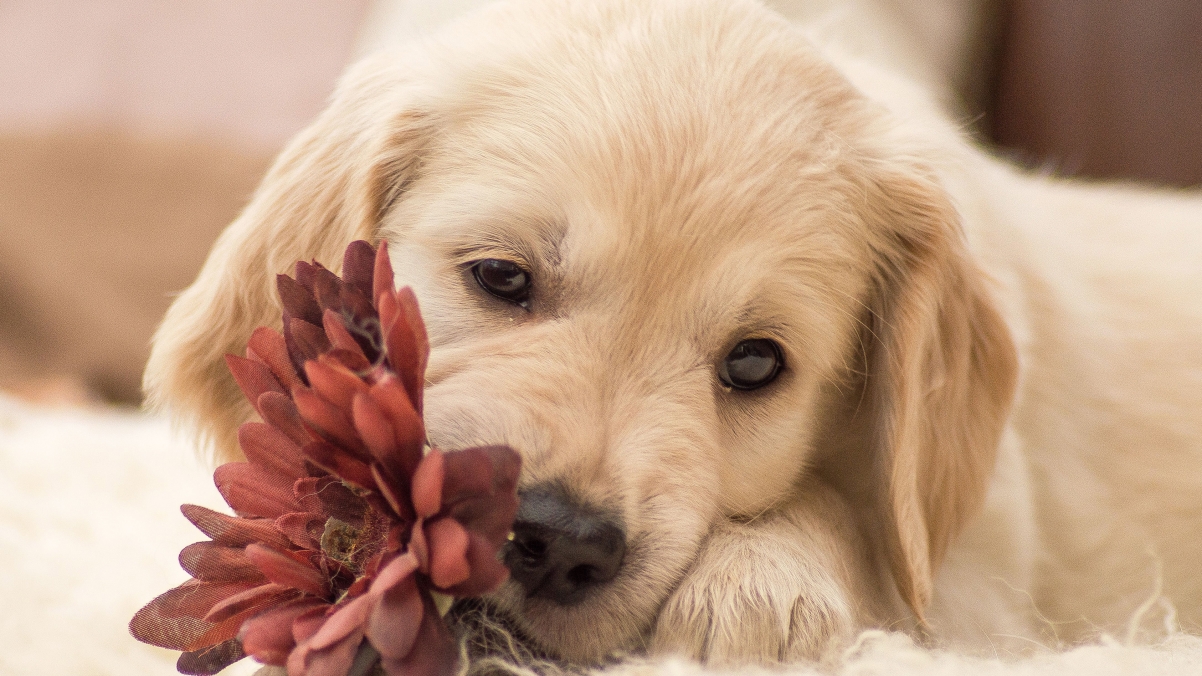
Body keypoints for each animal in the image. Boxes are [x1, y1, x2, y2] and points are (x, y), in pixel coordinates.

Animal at [145, 0, 1202, 663]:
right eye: (501, 278)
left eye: (755, 363)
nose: (559, 542)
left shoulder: (985, 578)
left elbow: (871, 530)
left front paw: (759, 588)